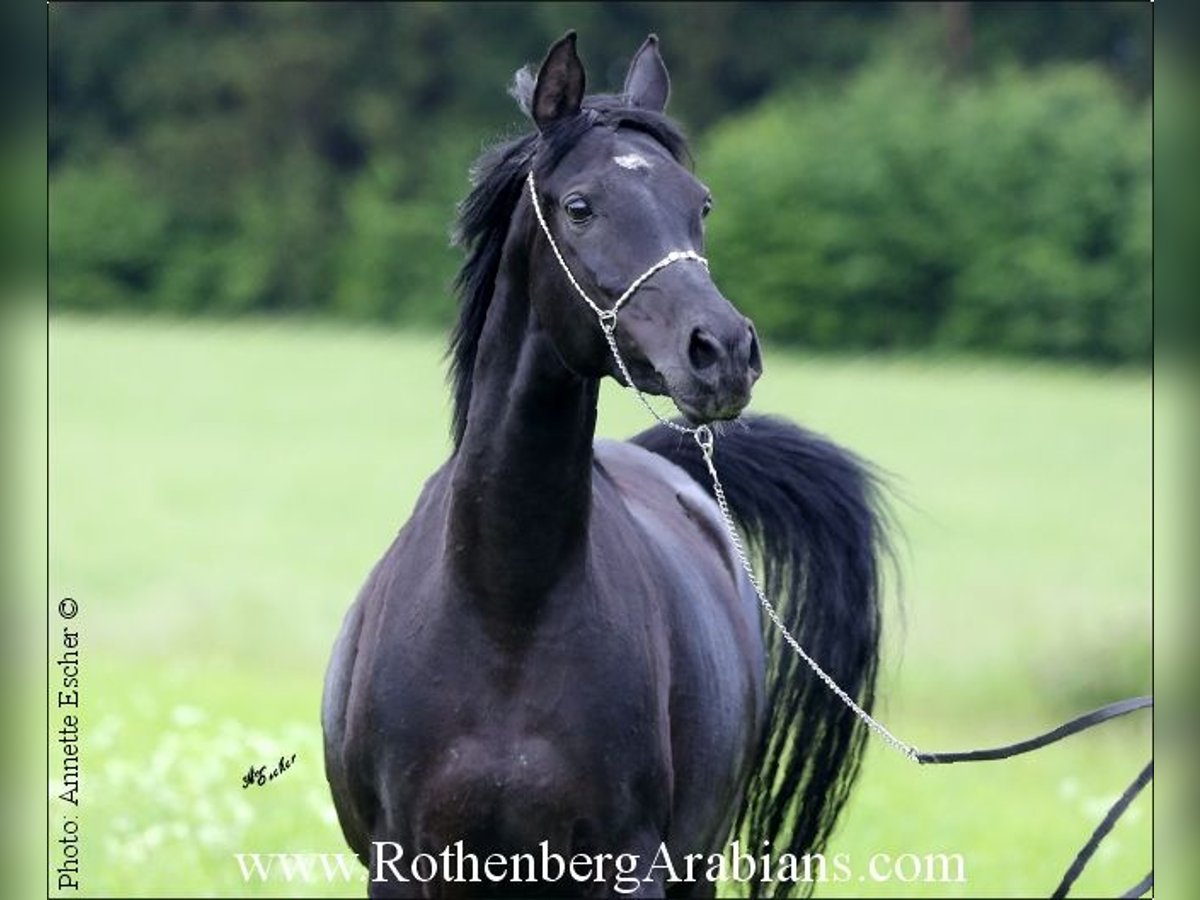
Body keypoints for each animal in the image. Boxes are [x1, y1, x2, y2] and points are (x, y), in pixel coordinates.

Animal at [324, 31, 888, 897]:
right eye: (581, 206)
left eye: (701, 204)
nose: (722, 352)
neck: (504, 613)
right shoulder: (404, 865)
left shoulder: (629, 864)